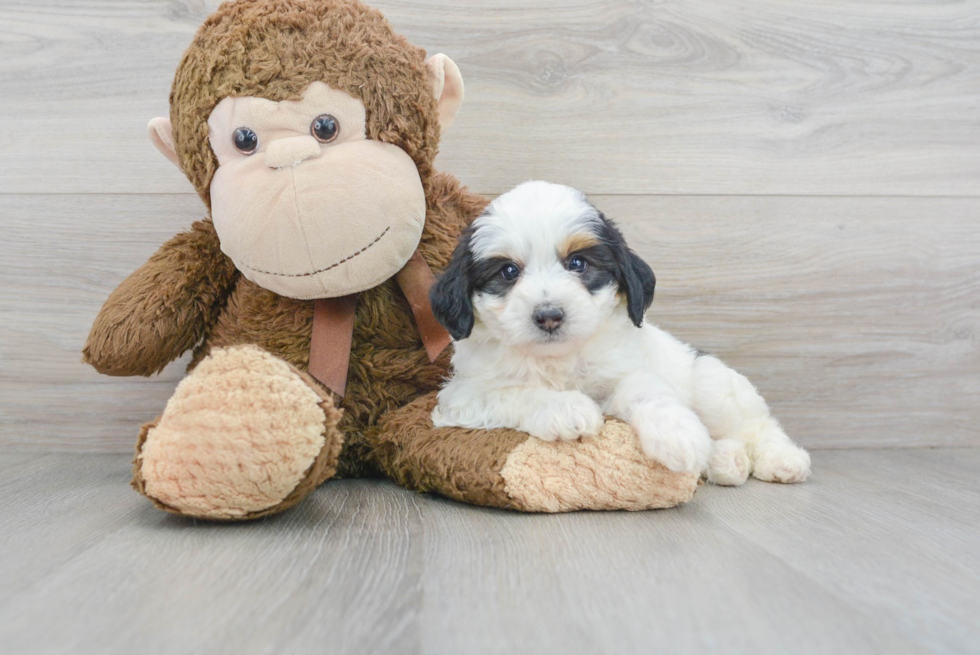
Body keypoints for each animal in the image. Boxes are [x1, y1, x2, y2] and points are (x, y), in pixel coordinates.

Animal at [430, 182, 812, 484]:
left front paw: (676, 431)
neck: (559, 358)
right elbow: (517, 392)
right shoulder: (463, 395)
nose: (549, 316)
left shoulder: (627, 370)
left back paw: (782, 459)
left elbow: (645, 391)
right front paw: (565, 408)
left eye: (578, 263)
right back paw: (725, 461)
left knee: (756, 425)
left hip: (711, 382)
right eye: (508, 271)